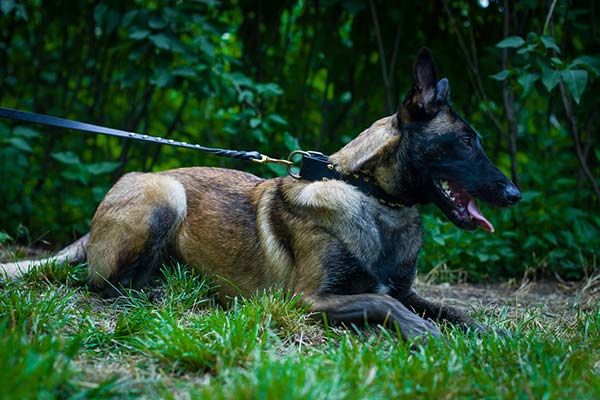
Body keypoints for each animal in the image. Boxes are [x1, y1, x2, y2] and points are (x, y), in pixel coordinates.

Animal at [0, 48, 520, 340]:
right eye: (467, 141)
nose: (515, 193)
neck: (371, 197)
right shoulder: (304, 300)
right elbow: (384, 304)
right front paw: (423, 332)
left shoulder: (405, 289)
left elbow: (453, 309)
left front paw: (493, 335)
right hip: (165, 193)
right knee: (102, 284)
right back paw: (163, 293)